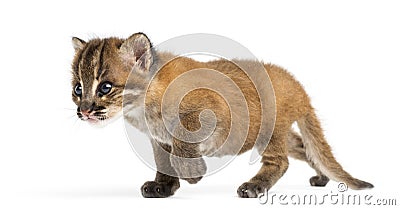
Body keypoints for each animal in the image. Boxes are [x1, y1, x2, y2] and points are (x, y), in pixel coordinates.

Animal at [70, 32, 374, 198]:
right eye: (77, 88)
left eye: (105, 87)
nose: (83, 110)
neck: (143, 108)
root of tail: (296, 85)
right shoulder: (158, 139)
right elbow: (163, 161)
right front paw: (163, 187)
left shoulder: (207, 111)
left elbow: (182, 142)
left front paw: (192, 174)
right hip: (275, 134)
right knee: (304, 147)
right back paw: (322, 177)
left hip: (270, 131)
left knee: (281, 161)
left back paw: (253, 186)